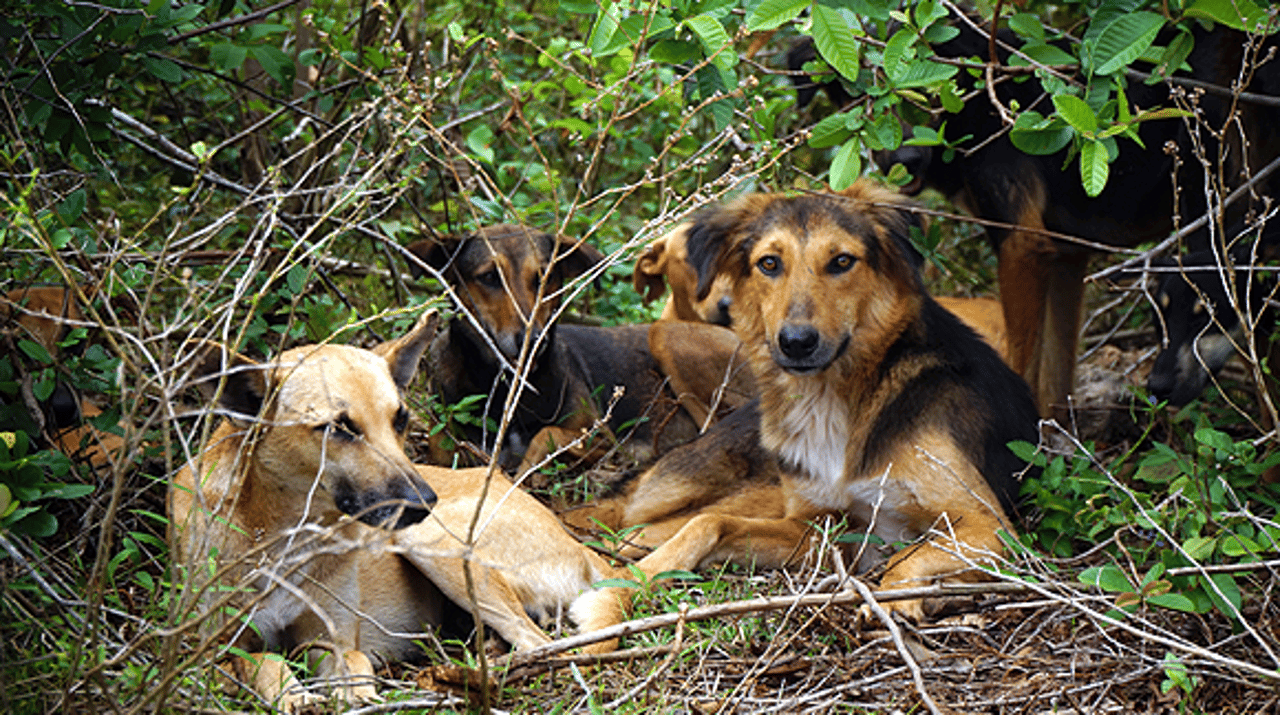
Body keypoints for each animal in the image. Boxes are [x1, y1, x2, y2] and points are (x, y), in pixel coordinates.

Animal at [404, 223, 752, 475]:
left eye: (544, 277)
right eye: (489, 277)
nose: (534, 340)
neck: (505, 385)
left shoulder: (601, 438)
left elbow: (546, 435)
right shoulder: (443, 445)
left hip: (665, 336)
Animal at [570, 180, 1039, 631]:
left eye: (843, 261)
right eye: (769, 264)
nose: (796, 343)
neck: (833, 400)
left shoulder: (986, 524)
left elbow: (909, 555)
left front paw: (896, 600)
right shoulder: (817, 526)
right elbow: (706, 525)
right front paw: (629, 586)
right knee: (636, 525)